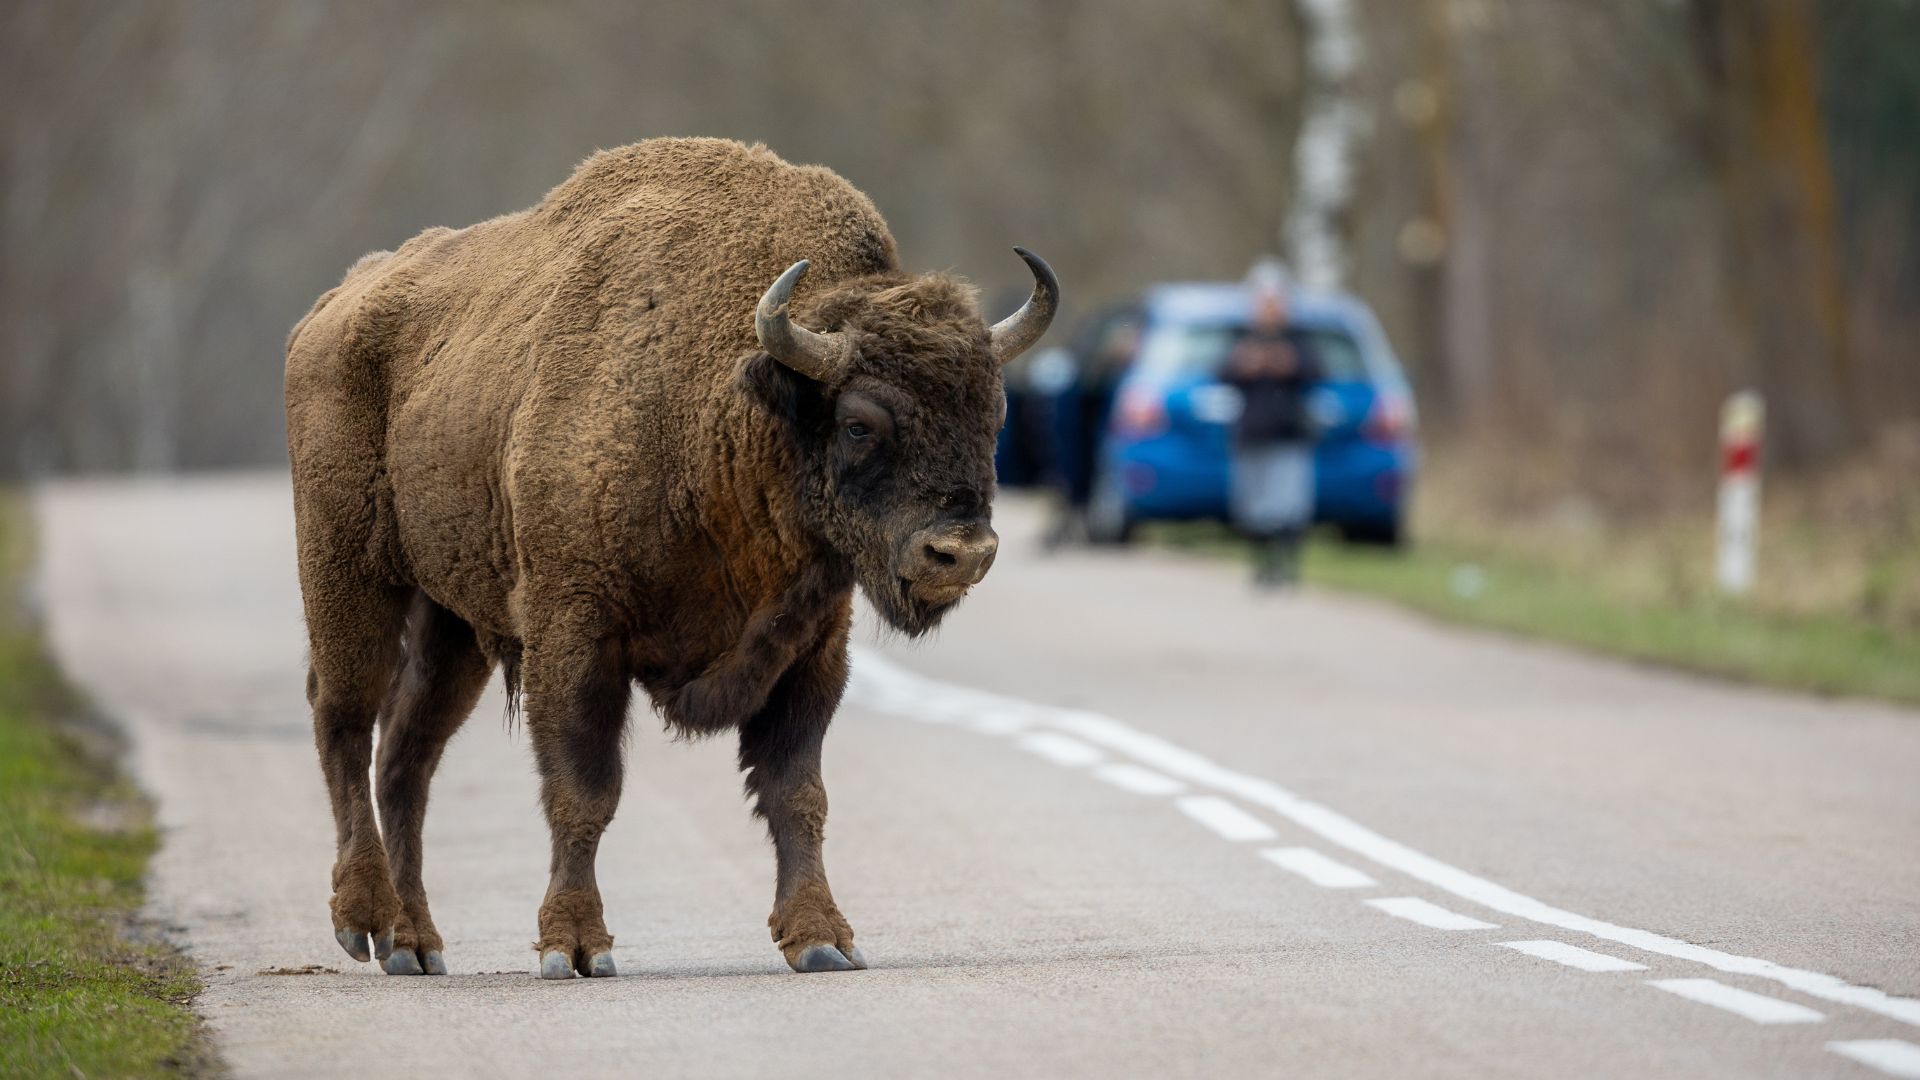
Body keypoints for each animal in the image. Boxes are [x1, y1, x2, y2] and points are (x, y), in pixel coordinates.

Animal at [285, 137, 1056, 978]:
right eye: (859, 423)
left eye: (995, 413)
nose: (961, 551)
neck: (717, 408)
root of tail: (333, 307)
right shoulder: (575, 634)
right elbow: (584, 789)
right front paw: (573, 946)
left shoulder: (812, 650)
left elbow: (798, 792)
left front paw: (822, 937)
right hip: (348, 572)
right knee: (344, 718)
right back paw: (363, 920)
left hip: (449, 621)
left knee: (406, 756)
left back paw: (414, 943)